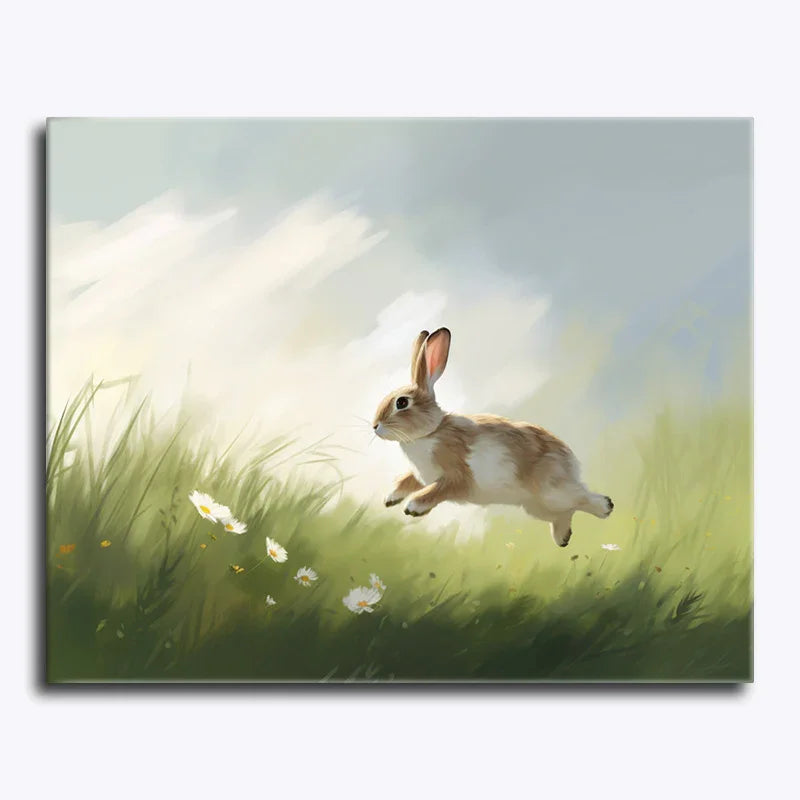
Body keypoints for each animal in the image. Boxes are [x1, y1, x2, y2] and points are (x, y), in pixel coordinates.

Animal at [372, 327, 613, 547]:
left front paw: (413, 506)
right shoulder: (420, 474)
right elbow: (407, 479)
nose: (375, 426)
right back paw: (563, 538)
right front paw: (390, 498)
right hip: (538, 507)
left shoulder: (457, 476)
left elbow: (437, 489)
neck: (431, 432)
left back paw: (605, 507)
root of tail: (570, 459)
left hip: (552, 492)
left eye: (402, 402)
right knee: (566, 512)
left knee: (582, 497)